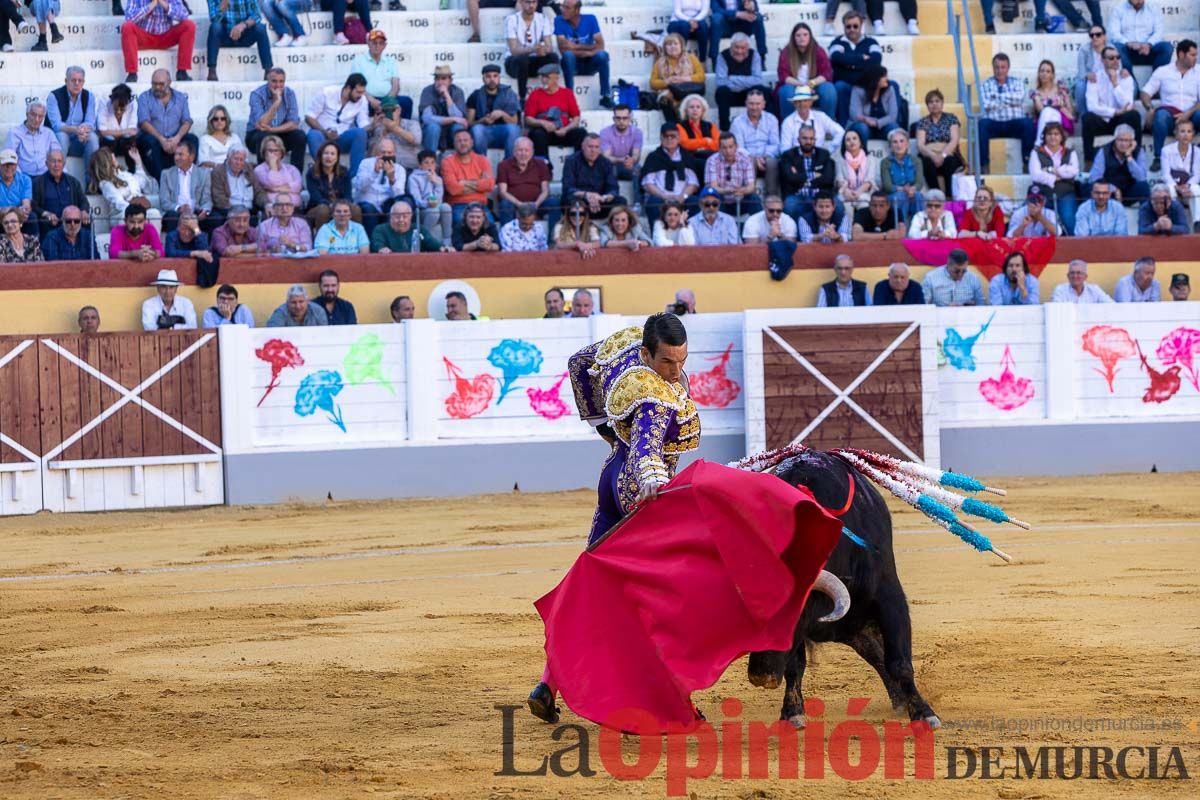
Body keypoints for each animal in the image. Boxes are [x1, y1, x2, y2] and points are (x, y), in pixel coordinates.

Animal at [748, 450, 936, 734]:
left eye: (793, 614)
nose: (760, 675)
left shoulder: (890, 600)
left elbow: (899, 661)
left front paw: (924, 714)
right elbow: (795, 665)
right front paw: (792, 713)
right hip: (848, 625)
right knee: (874, 652)